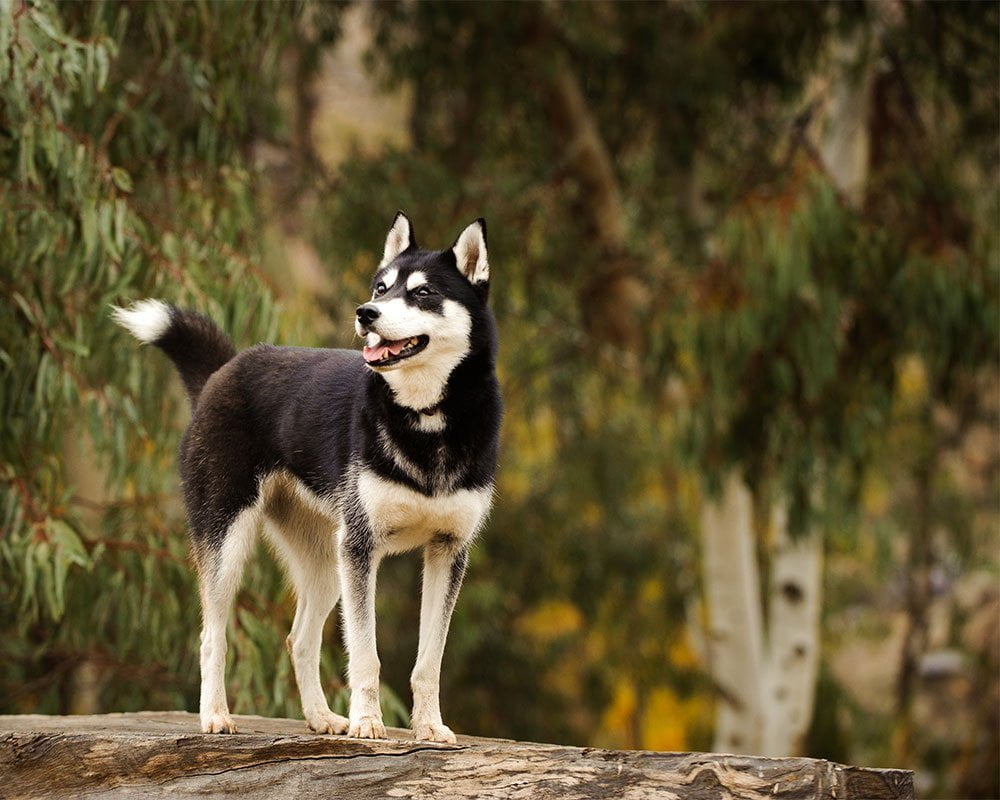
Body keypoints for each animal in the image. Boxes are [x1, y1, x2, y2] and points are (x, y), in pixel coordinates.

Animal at [112, 214, 500, 744]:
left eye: (422, 293)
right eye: (381, 288)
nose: (366, 313)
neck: (426, 419)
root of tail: (224, 370)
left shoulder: (447, 550)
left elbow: (428, 662)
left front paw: (428, 726)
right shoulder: (361, 548)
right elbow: (366, 655)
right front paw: (368, 723)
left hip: (325, 561)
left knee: (299, 638)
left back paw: (320, 717)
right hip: (230, 542)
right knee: (212, 636)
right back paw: (215, 715)